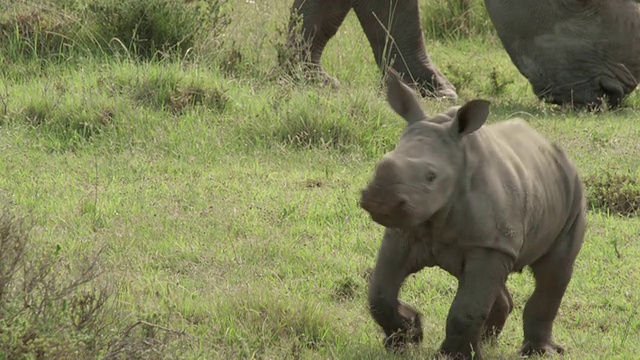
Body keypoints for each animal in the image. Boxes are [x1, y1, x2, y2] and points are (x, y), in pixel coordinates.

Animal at [360, 71, 584, 360]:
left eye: (431, 177)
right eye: (381, 161)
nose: (378, 199)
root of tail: (552, 147)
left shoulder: (489, 244)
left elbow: (466, 308)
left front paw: (452, 356)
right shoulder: (403, 232)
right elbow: (379, 294)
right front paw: (407, 339)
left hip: (573, 197)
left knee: (553, 272)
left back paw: (539, 352)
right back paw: (488, 343)